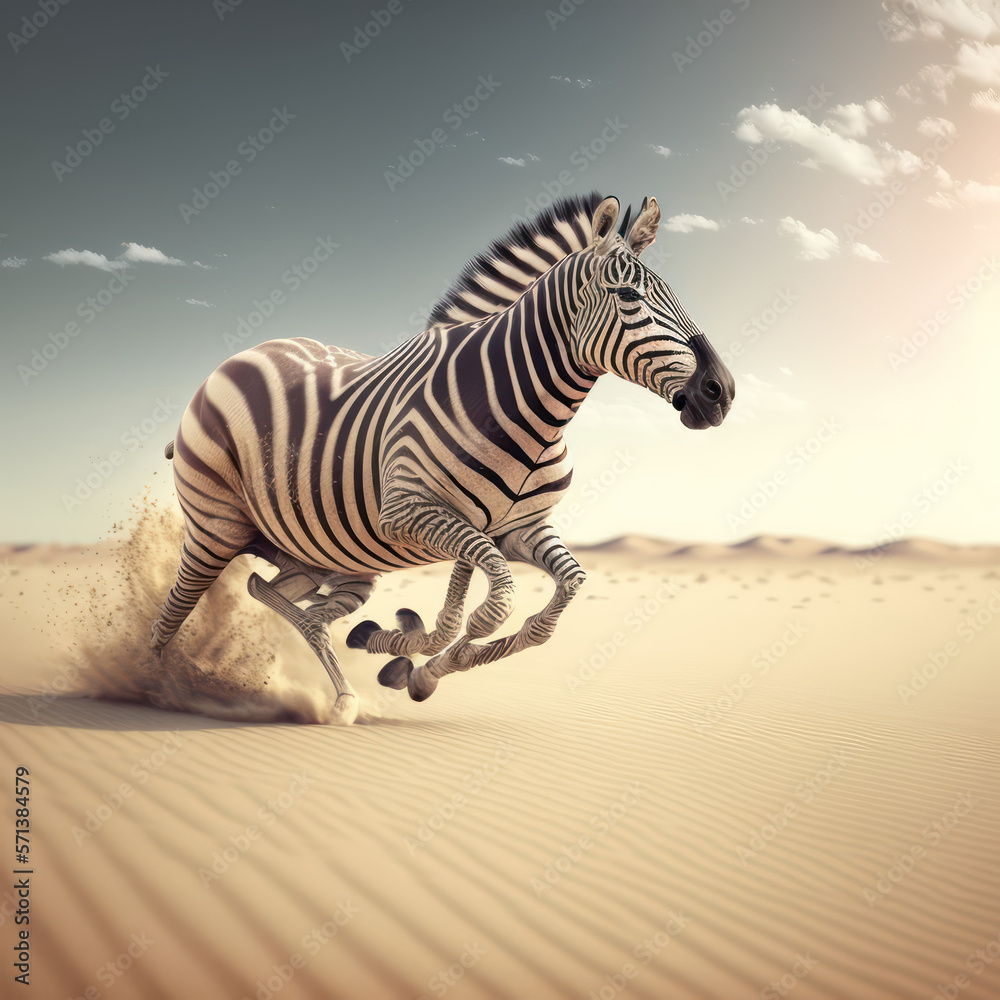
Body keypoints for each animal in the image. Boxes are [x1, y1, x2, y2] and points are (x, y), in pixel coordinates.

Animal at [151, 192, 734, 724]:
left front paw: (414, 663)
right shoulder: (412, 514)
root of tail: (238, 357)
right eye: (628, 295)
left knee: (281, 599)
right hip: (215, 529)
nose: (721, 392)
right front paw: (418, 664)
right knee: (172, 615)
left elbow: (551, 602)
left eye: (673, 294)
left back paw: (345, 686)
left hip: (323, 559)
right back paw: (157, 687)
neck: (523, 407)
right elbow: (489, 607)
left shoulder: (515, 527)